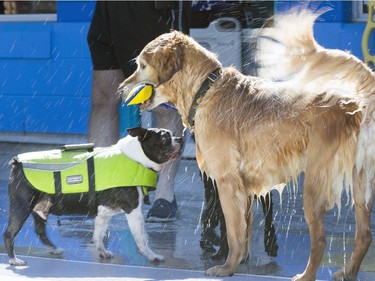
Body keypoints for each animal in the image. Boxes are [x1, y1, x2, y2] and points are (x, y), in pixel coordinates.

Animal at [2, 127, 184, 264]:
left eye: (173, 134)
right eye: (164, 139)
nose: (180, 138)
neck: (136, 158)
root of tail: (17, 162)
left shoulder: (104, 213)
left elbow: (98, 234)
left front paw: (102, 251)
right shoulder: (134, 212)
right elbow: (142, 239)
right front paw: (152, 256)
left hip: (41, 208)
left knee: (40, 230)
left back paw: (54, 249)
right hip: (22, 207)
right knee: (9, 233)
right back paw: (14, 260)